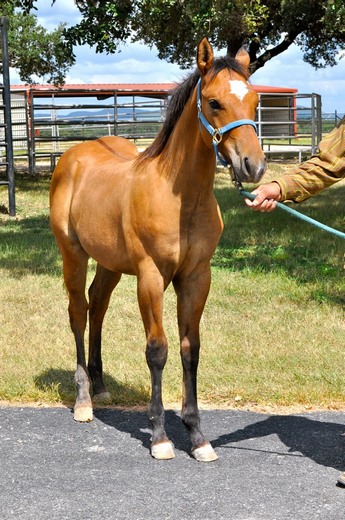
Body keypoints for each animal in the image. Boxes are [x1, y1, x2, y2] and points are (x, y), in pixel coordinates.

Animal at [49, 38, 264, 462]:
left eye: (255, 100)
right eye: (214, 102)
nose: (253, 166)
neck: (180, 198)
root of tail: (72, 156)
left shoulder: (196, 277)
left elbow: (190, 349)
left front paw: (197, 436)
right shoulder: (150, 277)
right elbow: (158, 350)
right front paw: (161, 437)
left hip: (111, 263)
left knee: (98, 305)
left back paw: (100, 386)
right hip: (74, 255)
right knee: (78, 312)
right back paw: (83, 399)